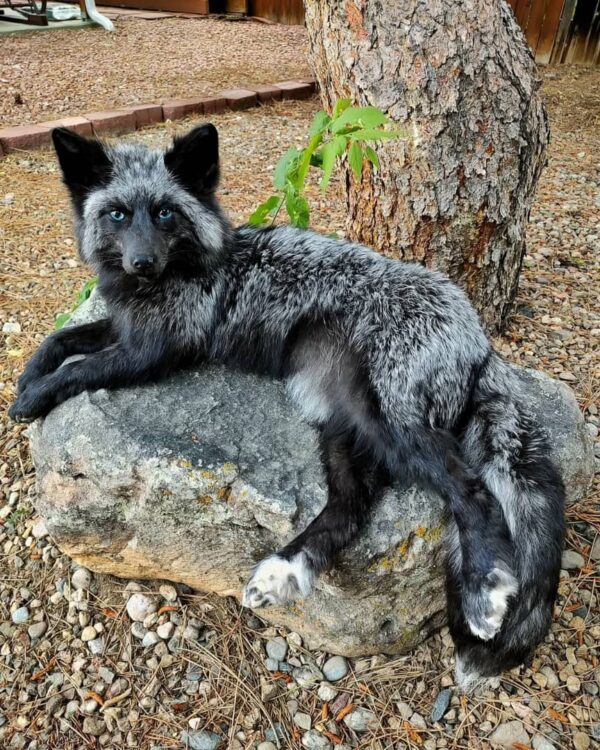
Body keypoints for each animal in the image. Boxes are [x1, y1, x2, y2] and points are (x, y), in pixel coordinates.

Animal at [9, 124, 565, 691]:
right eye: (118, 215)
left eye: (165, 213)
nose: (142, 262)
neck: (168, 279)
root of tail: (481, 342)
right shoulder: (124, 327)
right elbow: (60, 339)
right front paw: (28, 379)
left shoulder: (152, 350)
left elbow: (78, 369)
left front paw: (34, 395)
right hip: (344, 429)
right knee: (351, 509)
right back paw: (284, 570)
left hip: (392, 423)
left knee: (473, 494)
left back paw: (481, 591)